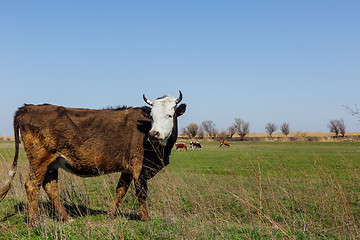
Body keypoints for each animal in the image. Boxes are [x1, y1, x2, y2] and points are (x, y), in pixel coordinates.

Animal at [0, 90, 186, 225]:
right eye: (152, 117)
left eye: (170, 115)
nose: (154, 134)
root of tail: (28, 107)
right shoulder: (139, 168)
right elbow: (141, 193)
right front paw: (146, 219)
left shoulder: (127, 169)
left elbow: (120, 191)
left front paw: (110, 215)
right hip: (39, 160)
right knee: (32, 185)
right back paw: (34, 222)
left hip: (51, 164)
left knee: (50, 188)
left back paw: (66, 218)